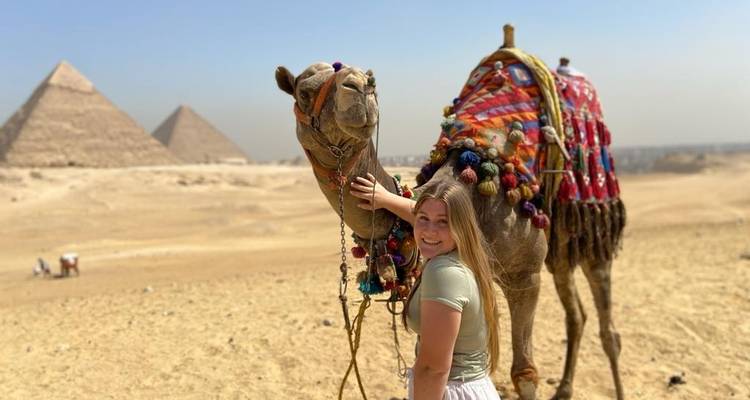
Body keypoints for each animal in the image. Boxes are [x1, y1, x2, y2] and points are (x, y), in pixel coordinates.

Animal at [276, 26, 625, 400]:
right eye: (304, 91)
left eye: (371, 80)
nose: (359, 86)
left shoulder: (524, 275)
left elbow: (524, 373)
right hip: (559, 241)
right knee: (576, 313)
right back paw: (564, 388)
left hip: (591, 221)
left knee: (606, 324)